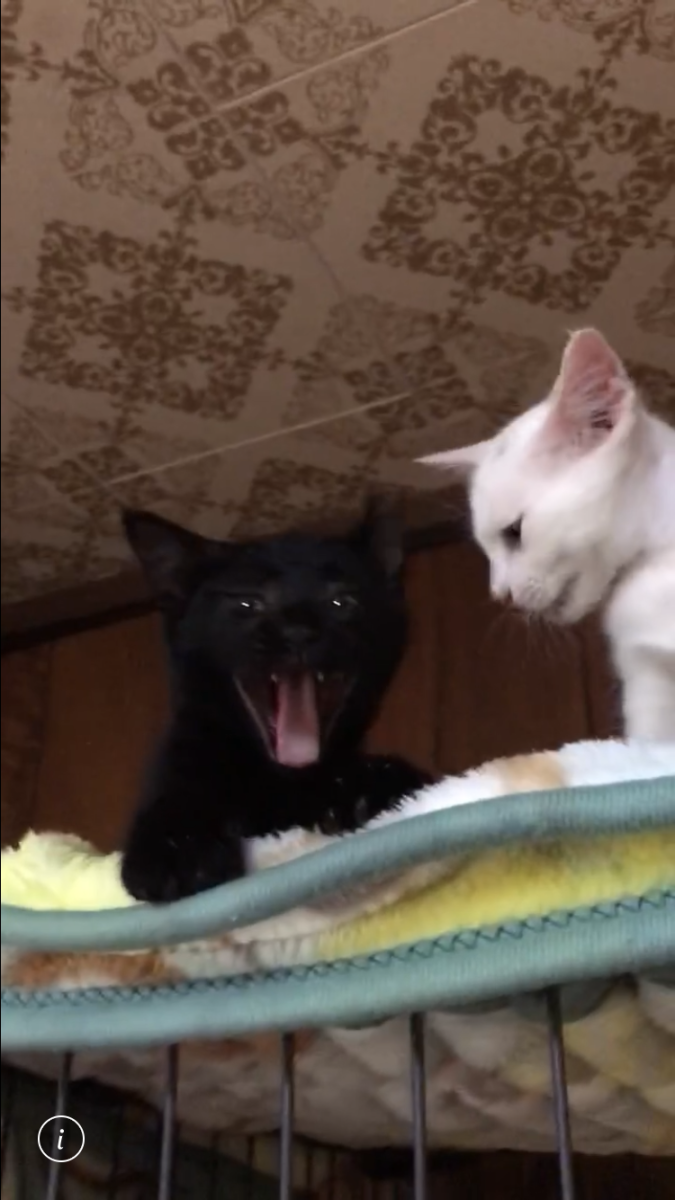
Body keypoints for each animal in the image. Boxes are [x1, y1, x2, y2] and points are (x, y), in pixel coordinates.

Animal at [121, 502, 431, 902]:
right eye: (248, 602)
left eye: (342, 602)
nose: (298, 631)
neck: (281, 786)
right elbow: (175, 802)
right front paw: (179, 853)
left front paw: (373, 786)